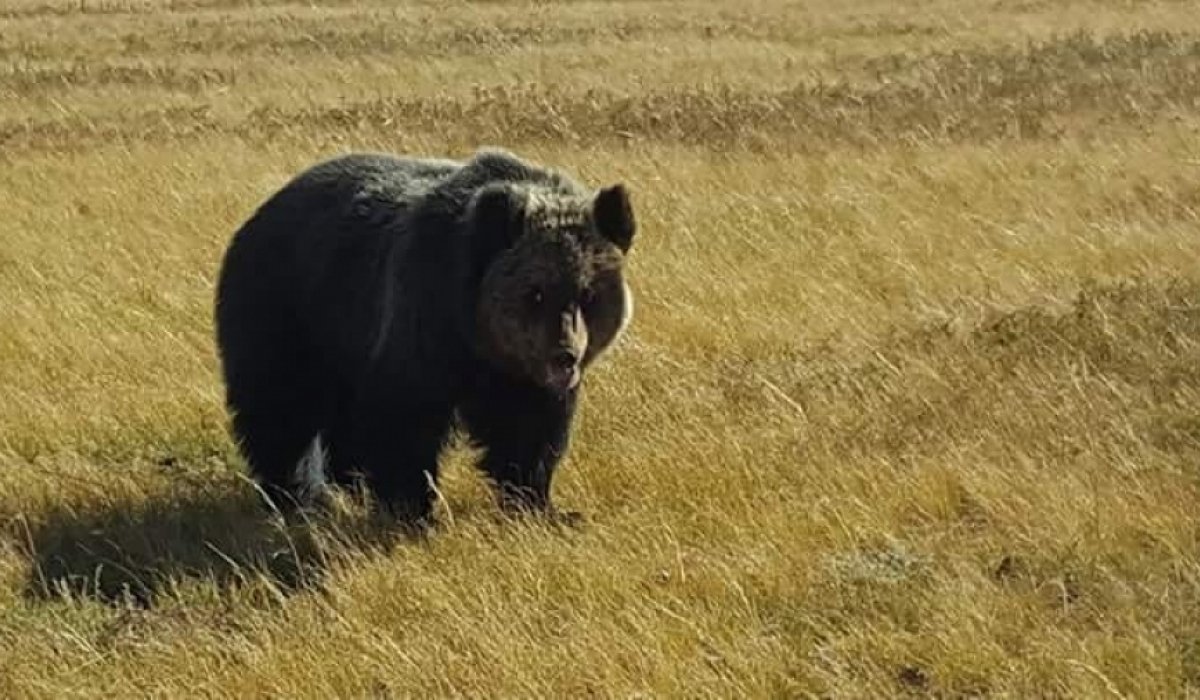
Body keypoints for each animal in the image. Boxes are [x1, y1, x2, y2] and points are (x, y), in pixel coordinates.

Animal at [213, 147, 638, 525]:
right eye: (535, 293)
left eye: (588, 294)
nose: (565, 355)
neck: (478, 339)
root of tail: (264, 208)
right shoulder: (422, 320)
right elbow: (403, 418)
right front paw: (414, 510)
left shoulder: (520, 377)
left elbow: (529, 431)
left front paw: (543, 505)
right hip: (291, 313)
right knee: (279, 405)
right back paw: (290, 493)